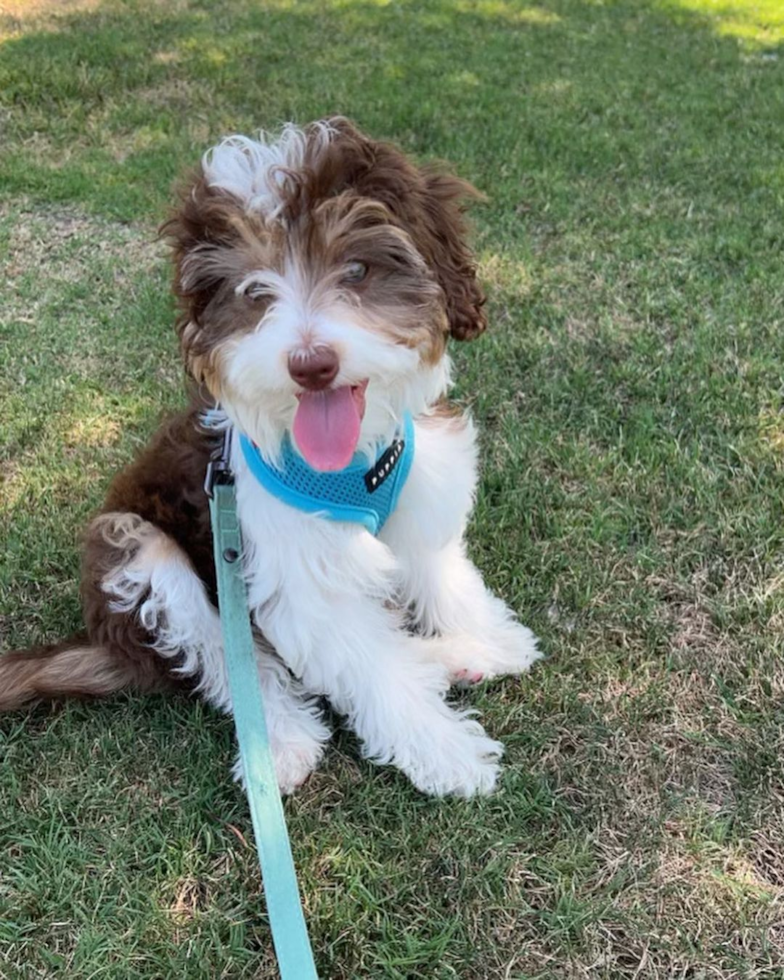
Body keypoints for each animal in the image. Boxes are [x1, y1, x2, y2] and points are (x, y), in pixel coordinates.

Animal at [0, 118, 540, 800]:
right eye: (255, 292)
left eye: (357, 268)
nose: (311, 365)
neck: (353, 465)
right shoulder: (294, 574)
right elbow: (366, 664)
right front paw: (445, 751)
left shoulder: (422, 485)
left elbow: (440, 572)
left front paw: (489, 633)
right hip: (134, 550)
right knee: (237, 663)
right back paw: (282, 744)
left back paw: (458, 656)